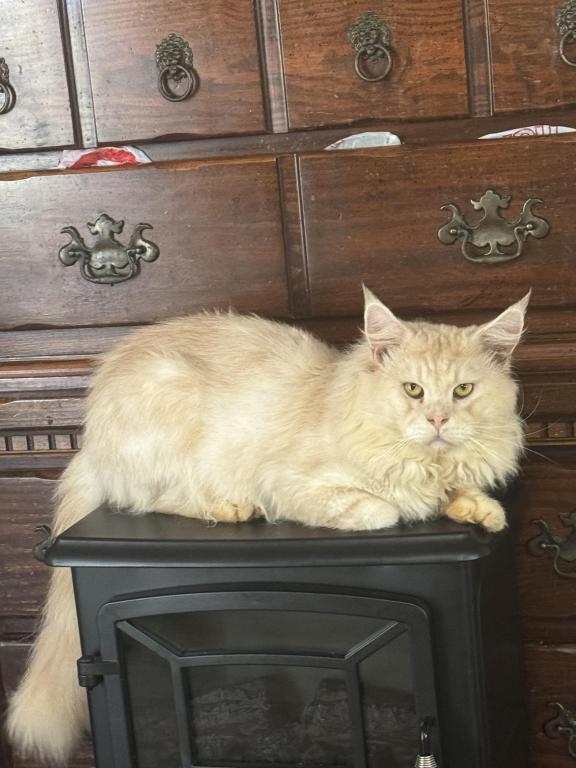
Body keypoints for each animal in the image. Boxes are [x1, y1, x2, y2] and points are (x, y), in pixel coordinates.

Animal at [7, 287, 528, 764]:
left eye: (464, 391)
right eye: (413, 390)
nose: (438, 420)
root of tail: (89, 439)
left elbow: (462, 494)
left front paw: (480, 509)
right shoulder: (291, 483)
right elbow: (386, 507)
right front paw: (411, 504)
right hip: (171, 413)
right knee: (159, 499)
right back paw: (233, 508)